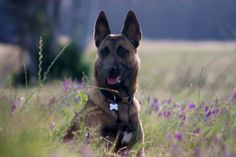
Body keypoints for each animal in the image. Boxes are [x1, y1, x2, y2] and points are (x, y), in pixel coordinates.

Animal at [63, 10, 144, 156]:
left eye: (122, 50)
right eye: (104, 51)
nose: (109, 70)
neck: (118, 100)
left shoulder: (137, 150)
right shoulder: (102, 144)